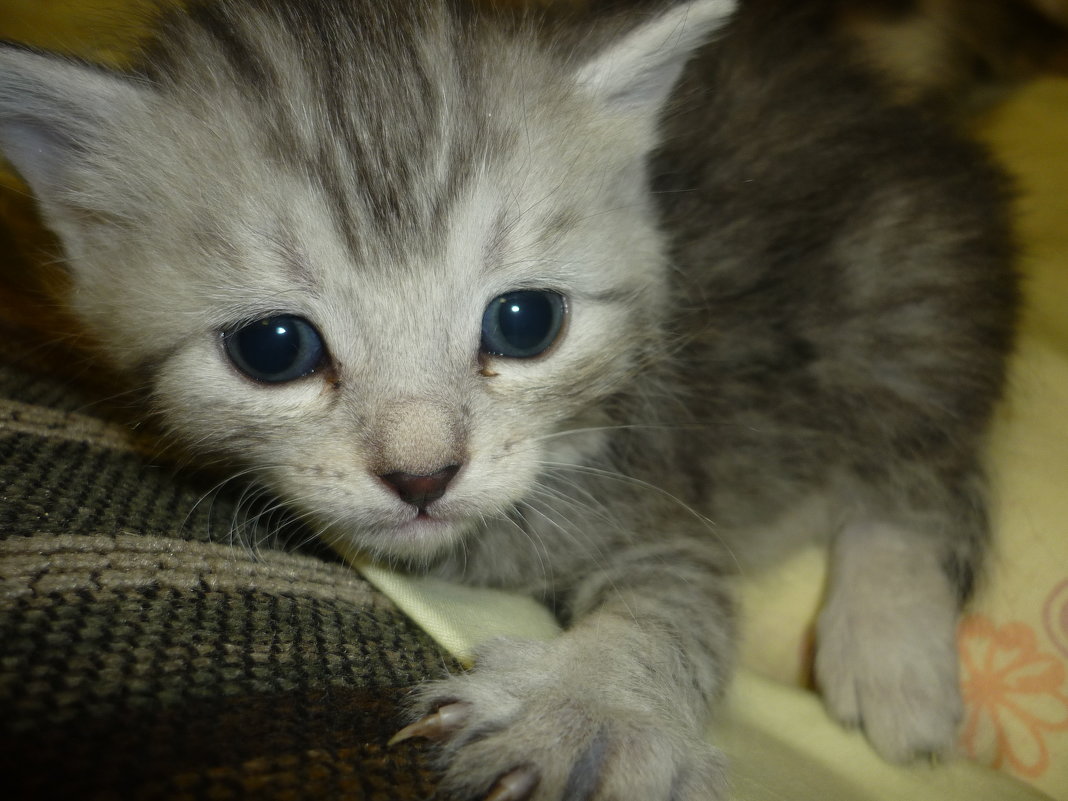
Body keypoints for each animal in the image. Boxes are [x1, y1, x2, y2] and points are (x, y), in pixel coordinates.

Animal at [0, 0, 1016, 798]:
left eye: (525, 323)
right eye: (273, 348)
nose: (422, 474)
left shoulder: (655, 496)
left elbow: (673, 599)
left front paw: (589, 708)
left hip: (900, 294)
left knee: (928, 470)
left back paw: (890, 651)